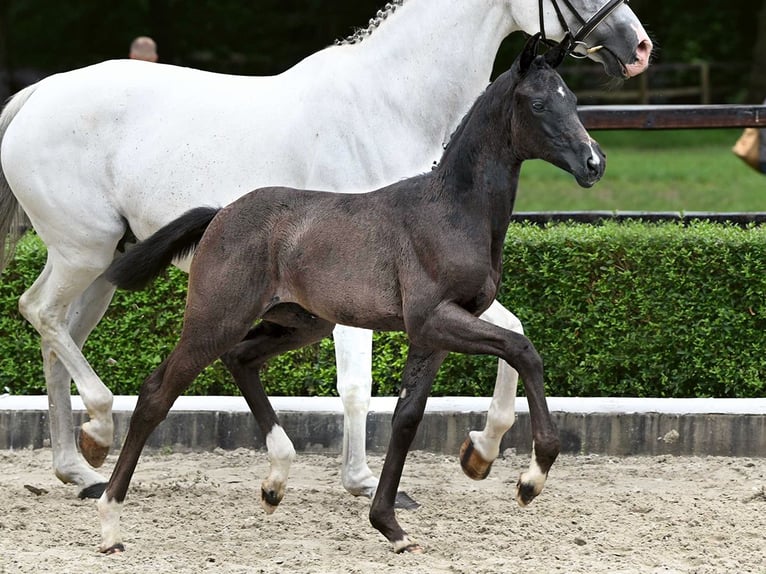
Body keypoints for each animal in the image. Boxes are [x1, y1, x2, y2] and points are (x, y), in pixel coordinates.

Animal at [0, 0, 656, 502]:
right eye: (541, 103)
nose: (640, 47)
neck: (392, 105)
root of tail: (33, 95)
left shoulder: (435, 300)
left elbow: (513, 332)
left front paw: (481, 451)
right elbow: (357, 386)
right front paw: (363, 481)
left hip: (107, 265)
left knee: (60, 337)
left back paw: (79, 464)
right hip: (84, 254)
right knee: (42, 314)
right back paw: (98, 430)